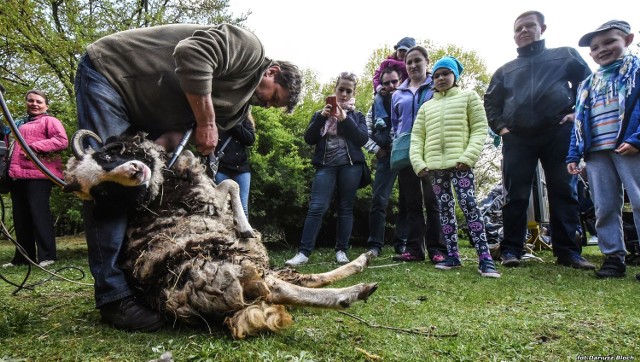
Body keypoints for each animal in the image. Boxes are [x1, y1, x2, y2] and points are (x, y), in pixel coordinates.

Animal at [62, 131, 378, 340]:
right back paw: (353, 292)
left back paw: (362, 262)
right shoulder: (209, 197)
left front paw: (243, 225)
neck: (161, 183)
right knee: (280, 289)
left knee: (301, 278)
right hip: (225, 267)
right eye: (105, 191)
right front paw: (245, 225)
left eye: (108, 155)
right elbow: (231, 184)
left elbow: (228, 185)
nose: (135, 171)